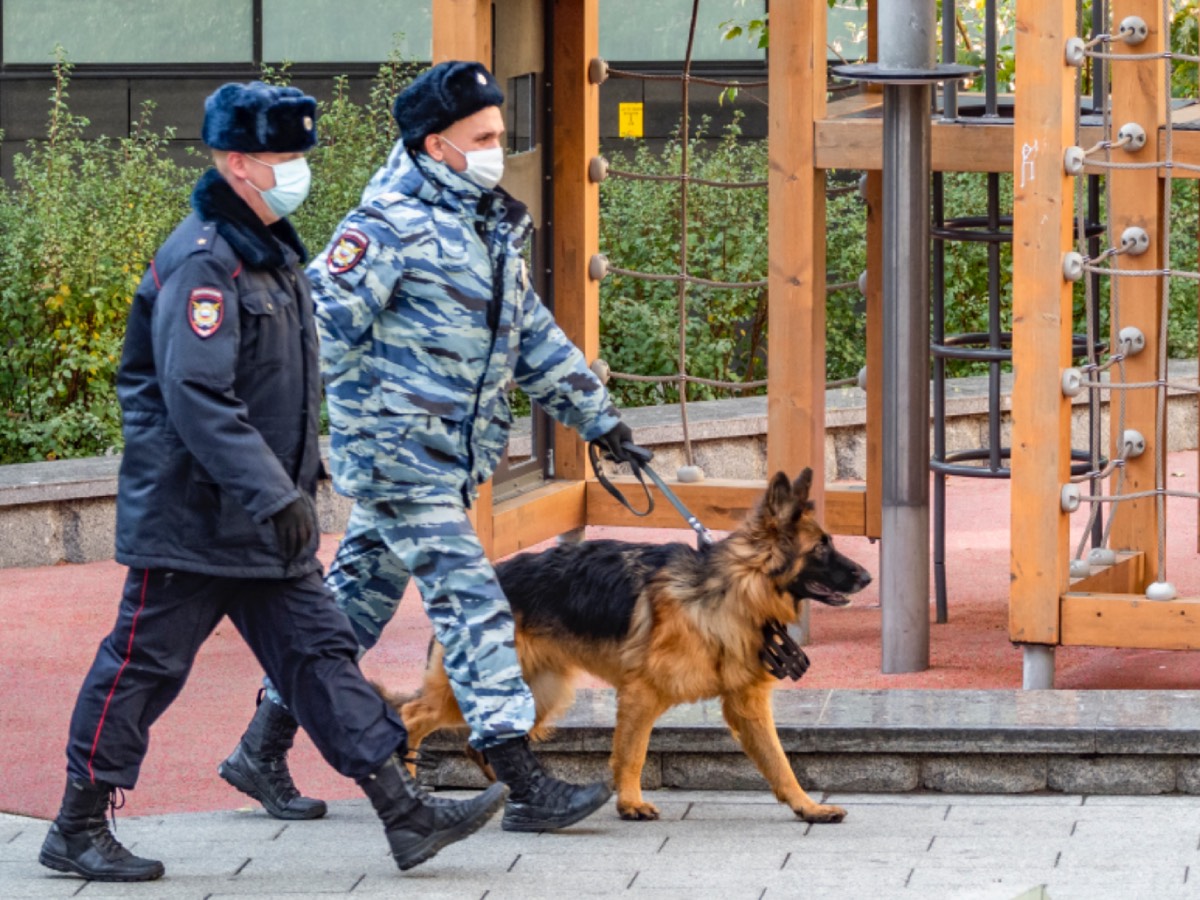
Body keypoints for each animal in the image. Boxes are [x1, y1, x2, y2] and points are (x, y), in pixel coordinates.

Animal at [393, 468, 873, 830]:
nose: (867, 577)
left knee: (481, 744)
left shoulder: (746, 704)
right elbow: (632, 753)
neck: (732, 588)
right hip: (483, 692)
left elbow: (780, 762)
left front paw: (808, 807)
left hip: (540, 694)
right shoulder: (641, 694)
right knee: (410, 716)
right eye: (821, 548)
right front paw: (629, 803)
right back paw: (409, 780)